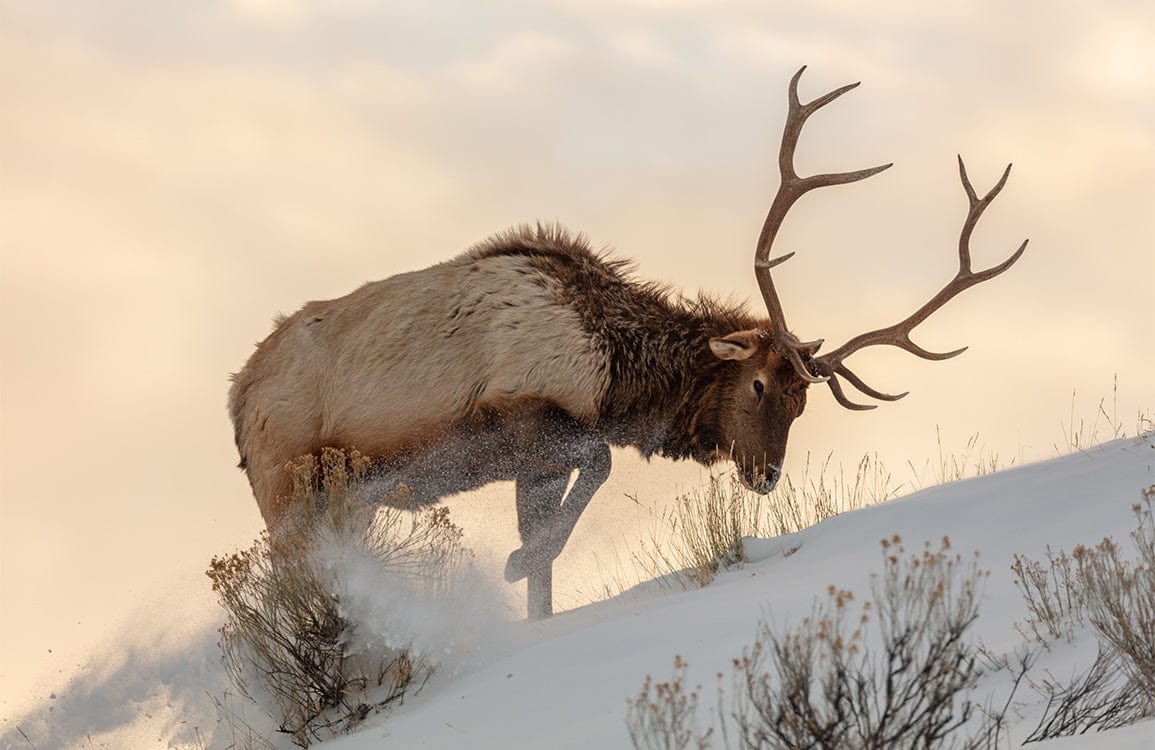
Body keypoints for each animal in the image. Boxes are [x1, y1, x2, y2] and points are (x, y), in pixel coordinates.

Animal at [229, 67, 1025, 619]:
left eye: (804, 405)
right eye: (759, 384)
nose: (765, 475)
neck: (615, 374)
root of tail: (237, 398)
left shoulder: (531, 462)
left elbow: (551, 559)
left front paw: (528, 584)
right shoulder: (522, 415)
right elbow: (599, 467)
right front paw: (512, 562)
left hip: (345, 502)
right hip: (287, 491)